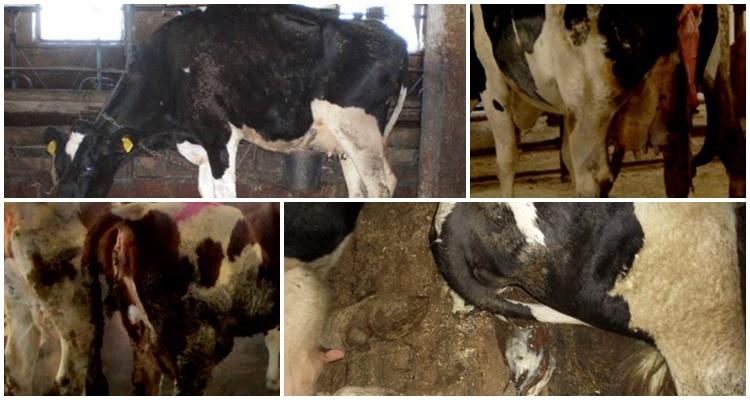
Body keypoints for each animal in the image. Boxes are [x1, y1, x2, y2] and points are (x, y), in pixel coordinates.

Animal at [44, 5, 408, 198]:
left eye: (89, 166)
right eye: (58, 165)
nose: (63, 200)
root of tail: (392, 38)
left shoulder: (220, 135)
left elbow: (225, 194)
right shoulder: (200, 144)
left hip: (358, 128)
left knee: (381, 185)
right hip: (348, 140)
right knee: (359, 189)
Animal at [472, 5, 704, 197]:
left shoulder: (491, 85)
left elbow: (506, 160)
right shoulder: (566, 110)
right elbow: (565, 156)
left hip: (588, 104)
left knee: (593, 180)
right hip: (672, 100)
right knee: (679, 176)